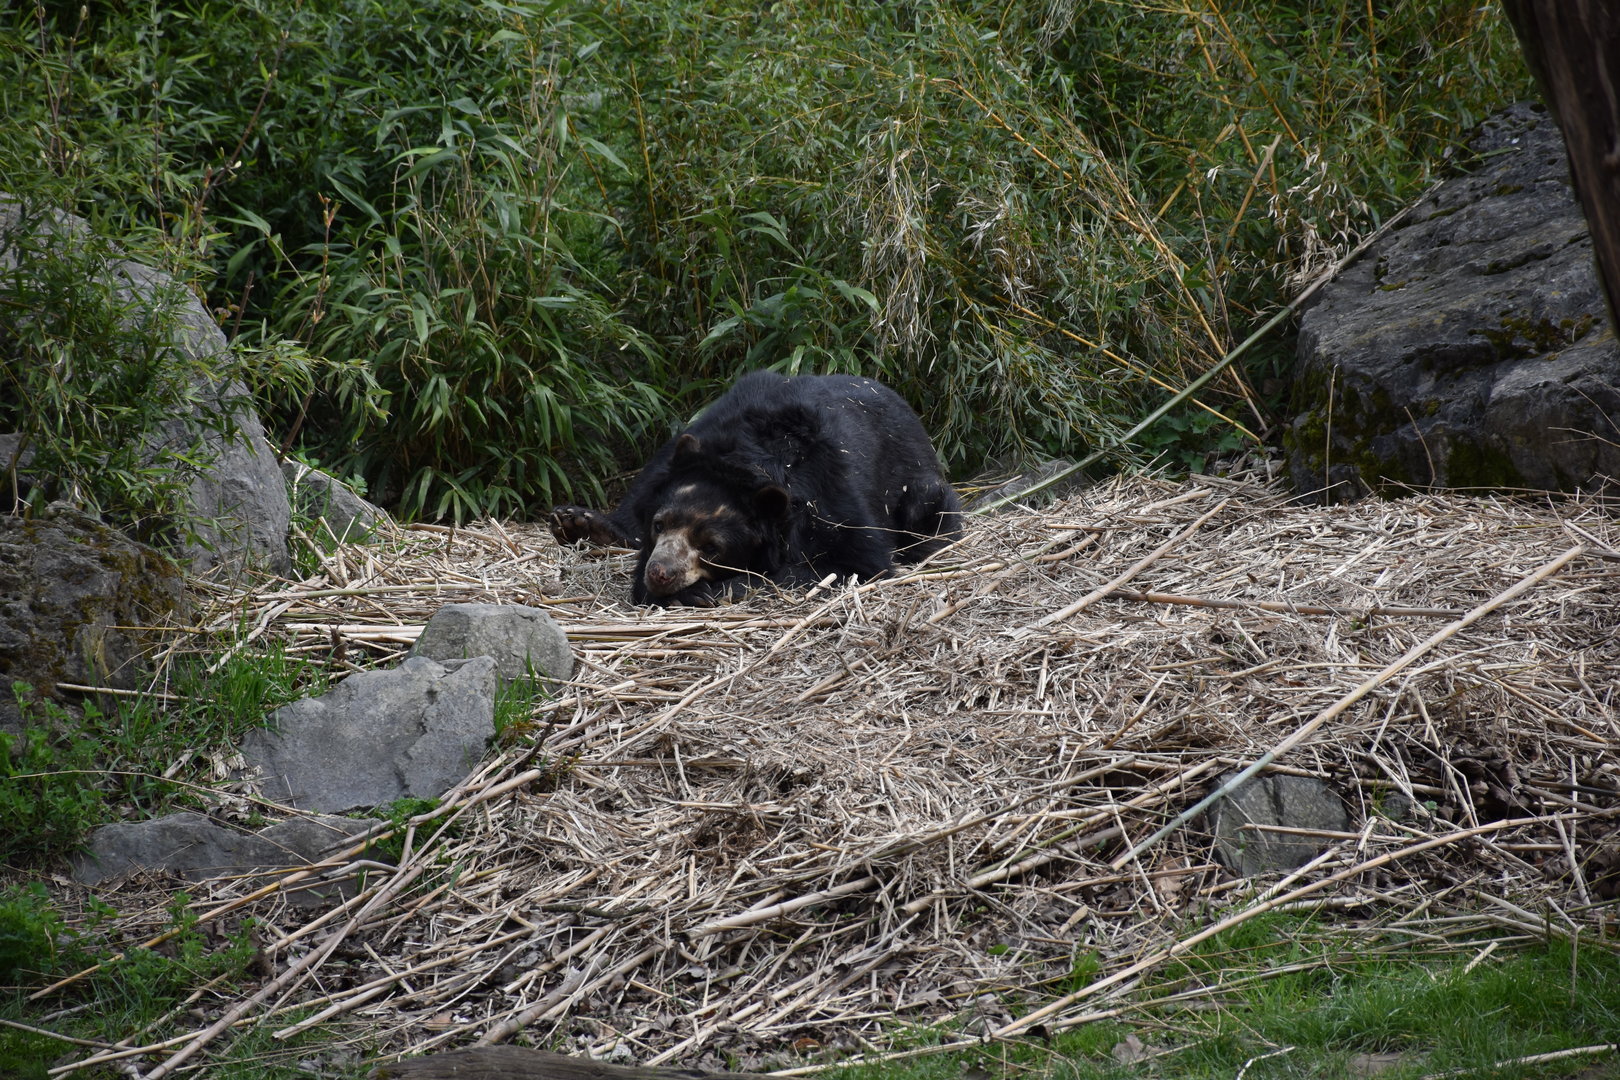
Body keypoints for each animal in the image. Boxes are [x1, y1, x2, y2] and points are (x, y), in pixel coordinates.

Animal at [549, 371, 962, 606]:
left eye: (712, 547)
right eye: (659, 524)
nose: (661, 573)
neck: (748, 462)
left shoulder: (834, 495)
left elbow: (856, 563)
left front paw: (710, 591)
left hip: (922, 486)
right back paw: (579, 523)